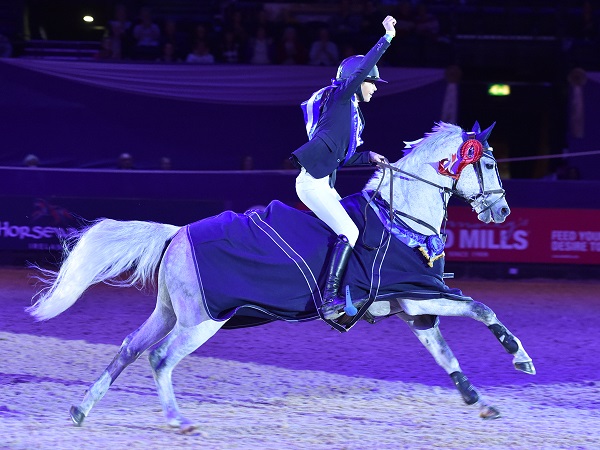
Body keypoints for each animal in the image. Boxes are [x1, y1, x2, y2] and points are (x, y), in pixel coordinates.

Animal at [27, 119, 536, 432]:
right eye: (490, 163)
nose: (502, 212)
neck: (402, 217)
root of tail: (178, 234)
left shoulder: (412, 307)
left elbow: (446, 356)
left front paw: (481, 403)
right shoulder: (420, 294)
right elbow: (481, 307)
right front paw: (520, 359)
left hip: (172, 312)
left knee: (130, 349)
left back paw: (80, 410)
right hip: (202, 320)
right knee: (160, 358)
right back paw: (177, 421)